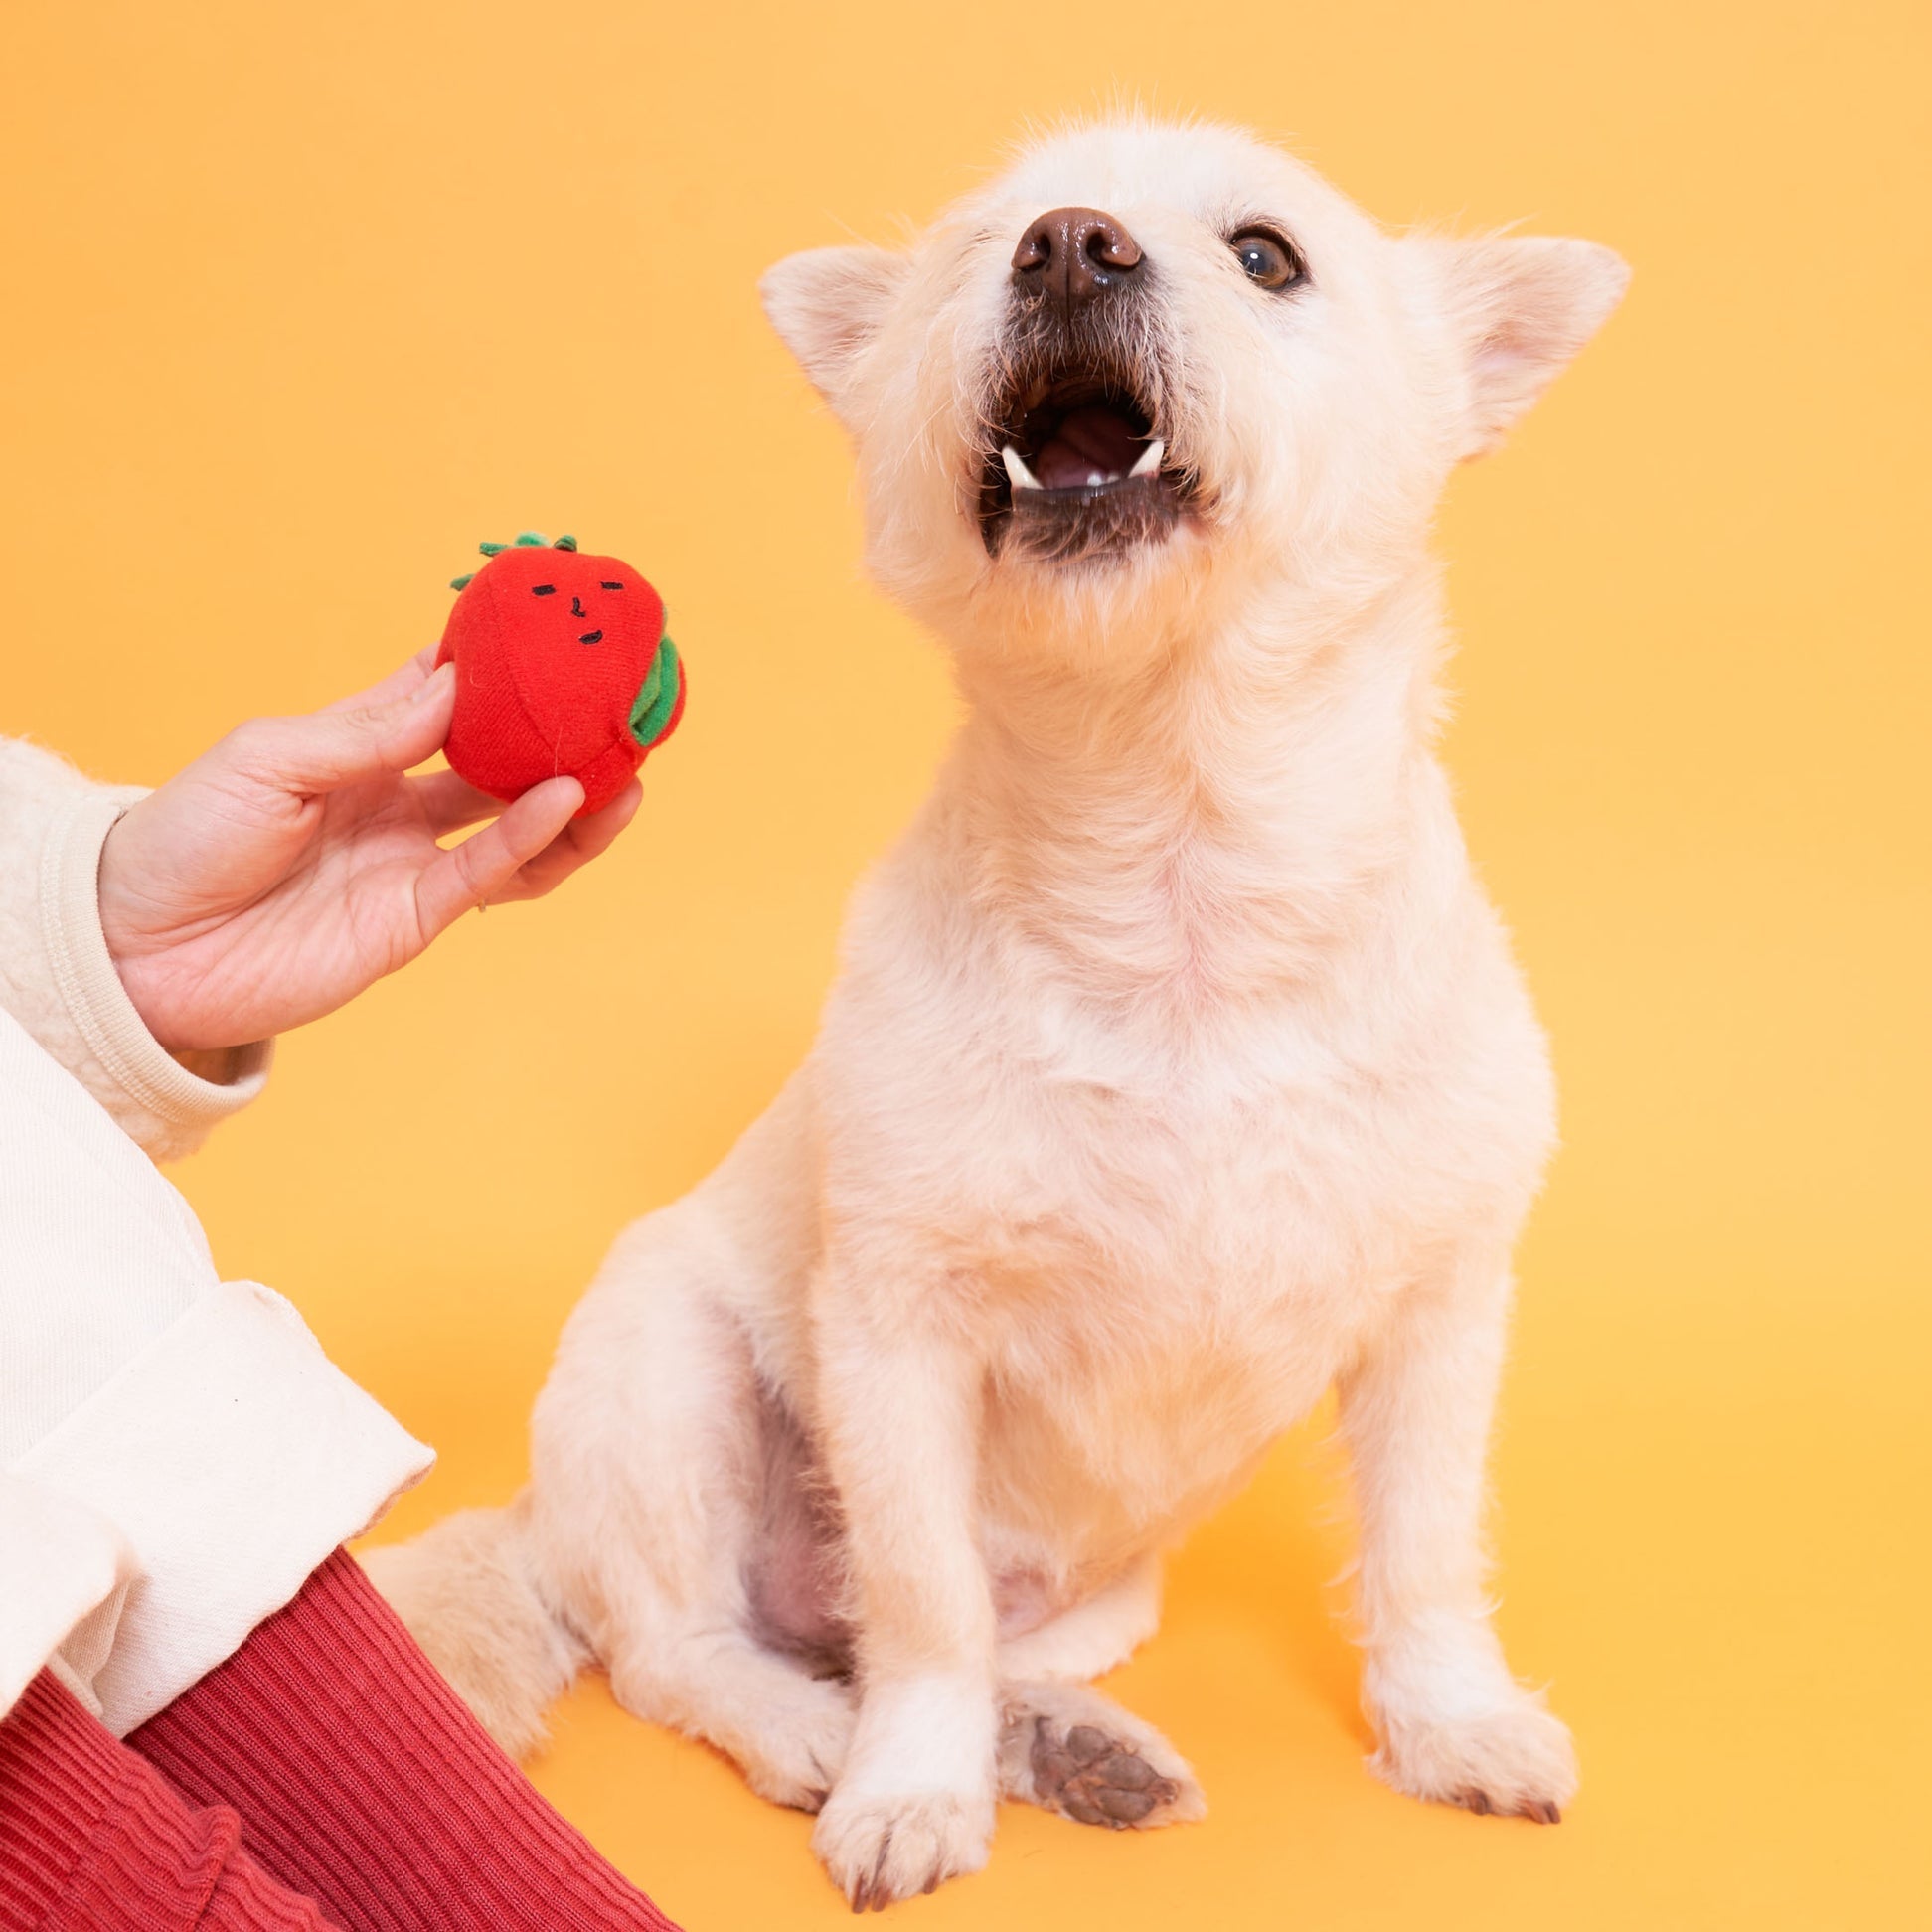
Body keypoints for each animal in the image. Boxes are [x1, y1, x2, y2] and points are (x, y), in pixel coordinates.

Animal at [365, 116, 1630, 1900]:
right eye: (987, 244)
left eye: (1265, 255)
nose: (1070, 245)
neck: (1174, 869)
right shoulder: (899, 1334)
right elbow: (920, 1606)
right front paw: (906, 1785)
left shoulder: (1440, 1312)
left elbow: (1424, 1548)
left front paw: (1450, 1720)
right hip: (665, 1375)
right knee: (690, 1648)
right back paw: (812, 1731)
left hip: (1100, 1591)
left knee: (967, 1640)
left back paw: (1068, 1745)